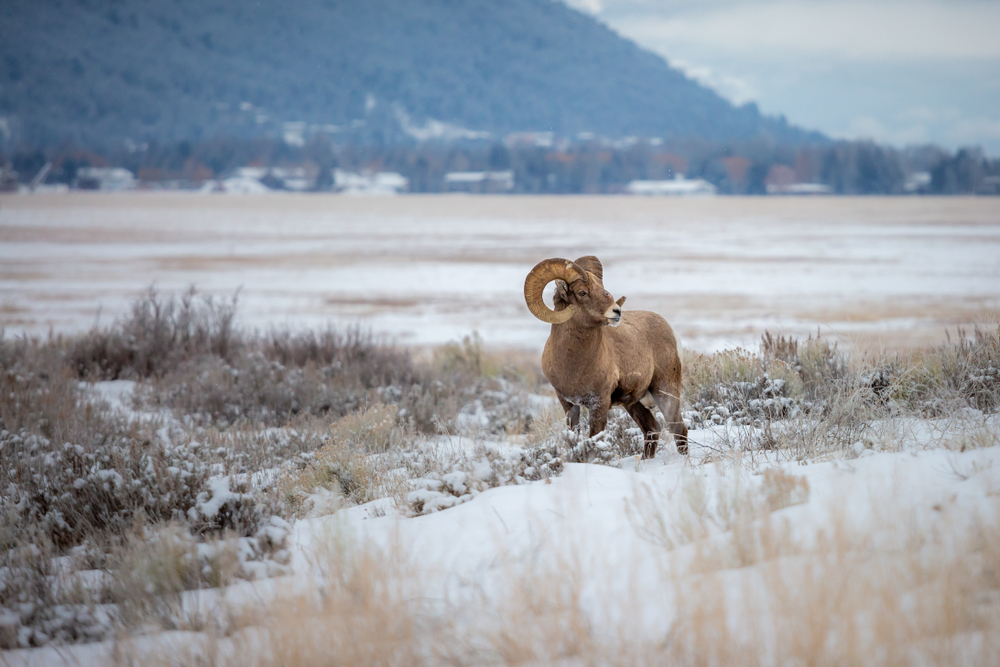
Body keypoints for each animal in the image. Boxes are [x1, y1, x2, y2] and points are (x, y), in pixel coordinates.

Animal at [524, 258, 688, 460]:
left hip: (665, 391)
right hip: (634, 403)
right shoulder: (569, 404)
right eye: (582, 292)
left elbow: (593, 445)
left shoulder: (599, 403)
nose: (616, 312)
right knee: (652, 429)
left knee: (678, 429)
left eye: (602, 287)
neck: (574, 367)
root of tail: (669, 328)